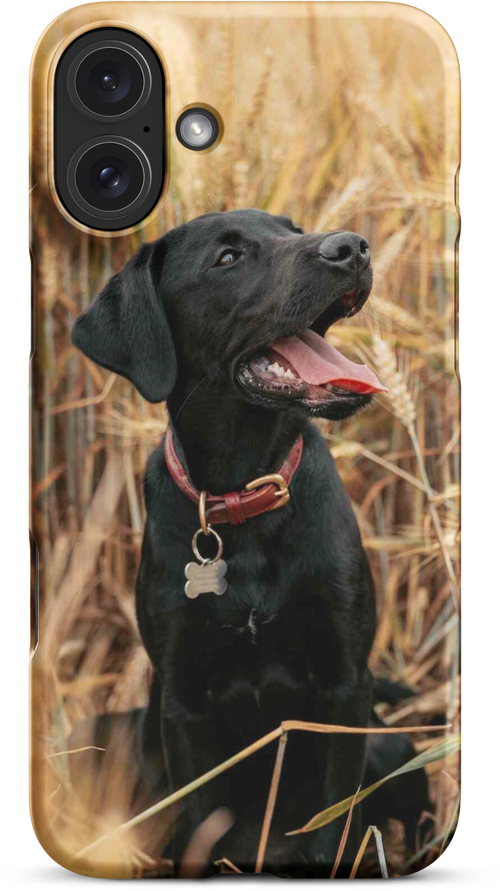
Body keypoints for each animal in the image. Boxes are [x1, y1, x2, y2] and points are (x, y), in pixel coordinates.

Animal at [71, 211, 402, 880]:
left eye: (292, 230)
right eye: (227, 258)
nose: (353, 247)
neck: (243, 496)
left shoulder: (345, 682)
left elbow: (332, 823)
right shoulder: (182, 703)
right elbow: (200, 822)